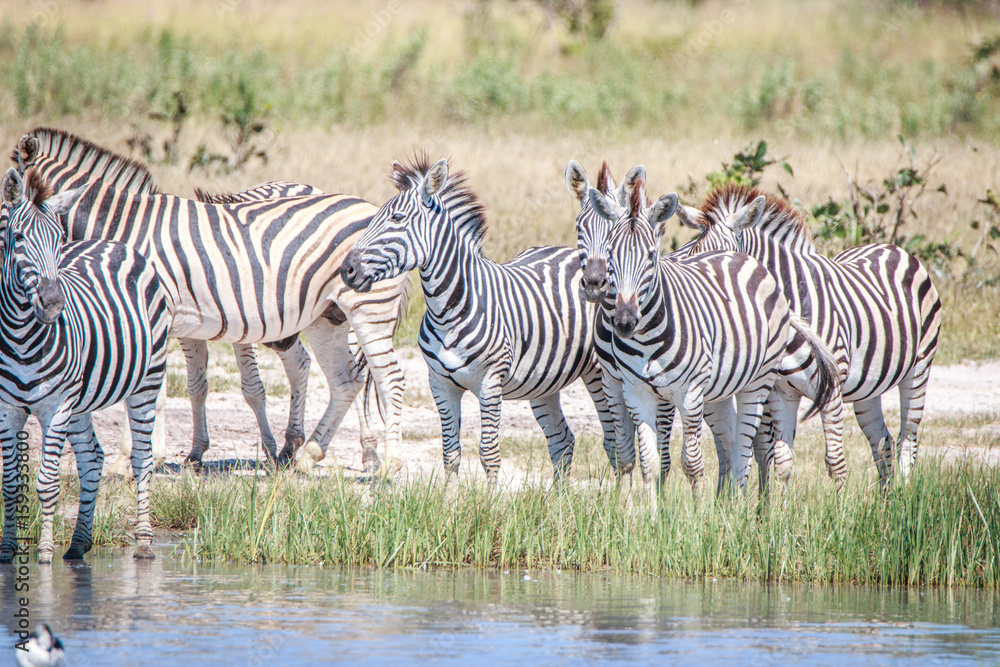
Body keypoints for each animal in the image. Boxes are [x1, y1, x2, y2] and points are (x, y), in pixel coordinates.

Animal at [0, 167, 169, 564]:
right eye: (18, 237)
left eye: (60, 240)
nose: (52, 303)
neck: (21, 337)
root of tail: (115, 243)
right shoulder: (7, 407)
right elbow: (11, 483)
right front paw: (7, 549)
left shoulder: (56, 406)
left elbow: (46, 481)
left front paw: (44, 554)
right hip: (82, 401)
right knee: (92, 458)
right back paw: (78, 544)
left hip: (147, 382)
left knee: (142, 459)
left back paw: (143, 541)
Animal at [11, 128, 411, 474]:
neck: (123, 227)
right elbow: (187, 386)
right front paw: (169, 455)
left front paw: (130, 460)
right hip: (324, 318)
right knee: (345, 380)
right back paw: (307, 454)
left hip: (367, 309)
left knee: (386, 378)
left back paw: (383, 462)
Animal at [341, 156, 618, 482]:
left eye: (397, 218)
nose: (346, 270)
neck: (448, 310)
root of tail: (573, 253)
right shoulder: (440, 383)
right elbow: (450, 454)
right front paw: (449, 496)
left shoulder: (490, 382)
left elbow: (489, 453)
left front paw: (489, 498)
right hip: (544, 381)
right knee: (562, 440)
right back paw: (558, 497)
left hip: (598, 372)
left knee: (614, 439)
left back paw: (618, 494)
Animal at [675, 185, 942, 484]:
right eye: (693, 254)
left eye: (723, 260)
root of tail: (890, 247)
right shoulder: (781, 391)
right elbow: (782, 461)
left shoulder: (832, 388)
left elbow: (835, 461)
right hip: (868, 387)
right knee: (882, 441)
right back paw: (887, 495)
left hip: (919, 368)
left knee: (907, 439)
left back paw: (904, 493)